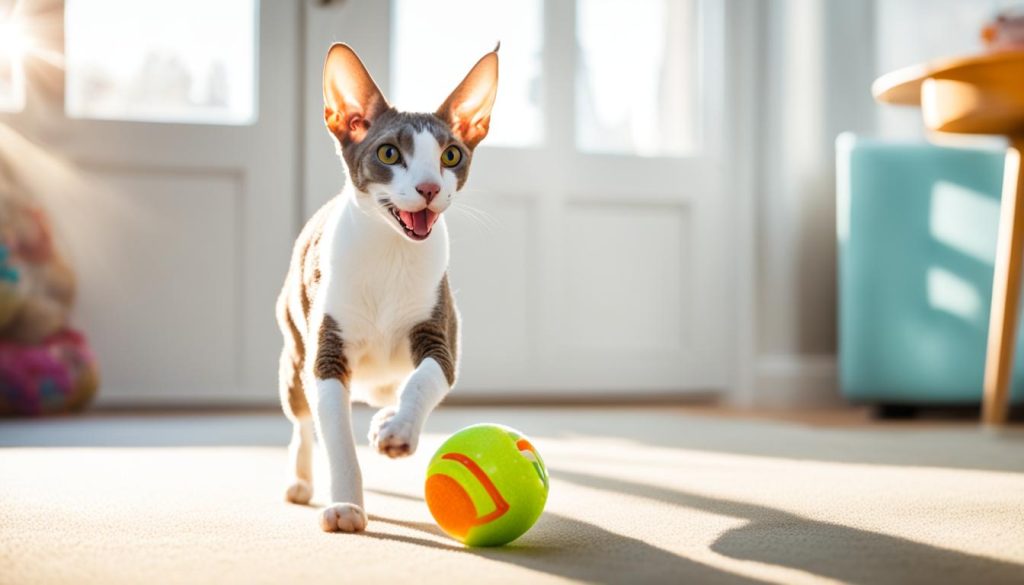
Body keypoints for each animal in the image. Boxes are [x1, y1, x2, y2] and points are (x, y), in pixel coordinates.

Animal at [272, 43, 495, 532]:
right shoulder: (325, 355)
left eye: (451, 156)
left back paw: (387, 421)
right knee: (301, 419)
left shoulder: (439, 334)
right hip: (294, 355)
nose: (428, 188)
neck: (391, 254)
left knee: (395, 387)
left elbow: (428, 378)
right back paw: (300, 480)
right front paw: (346, 506)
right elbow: (335, 436)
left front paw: (399, 430)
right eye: (389, 154)